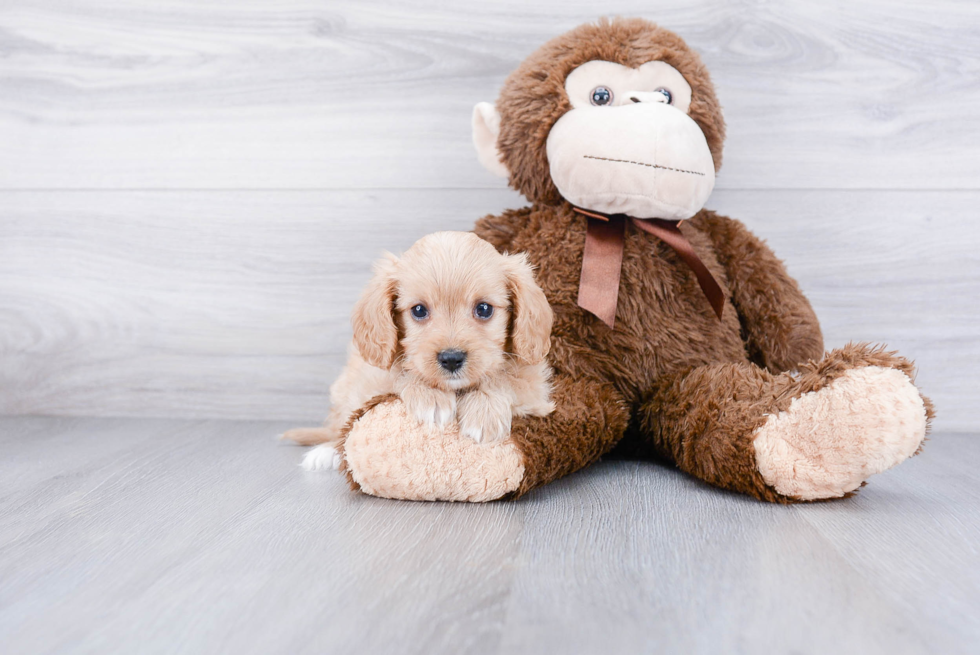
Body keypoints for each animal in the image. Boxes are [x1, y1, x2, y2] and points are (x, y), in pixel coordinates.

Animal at [286, 233, 560, 468]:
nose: (451, 359)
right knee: (339, 427)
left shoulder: (535, 388)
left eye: (484, 309)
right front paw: (431, 396)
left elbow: (505, 378)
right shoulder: (374, 381)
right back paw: (326, 453)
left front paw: (484, 412)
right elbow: (401, 374)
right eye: (418, 310)